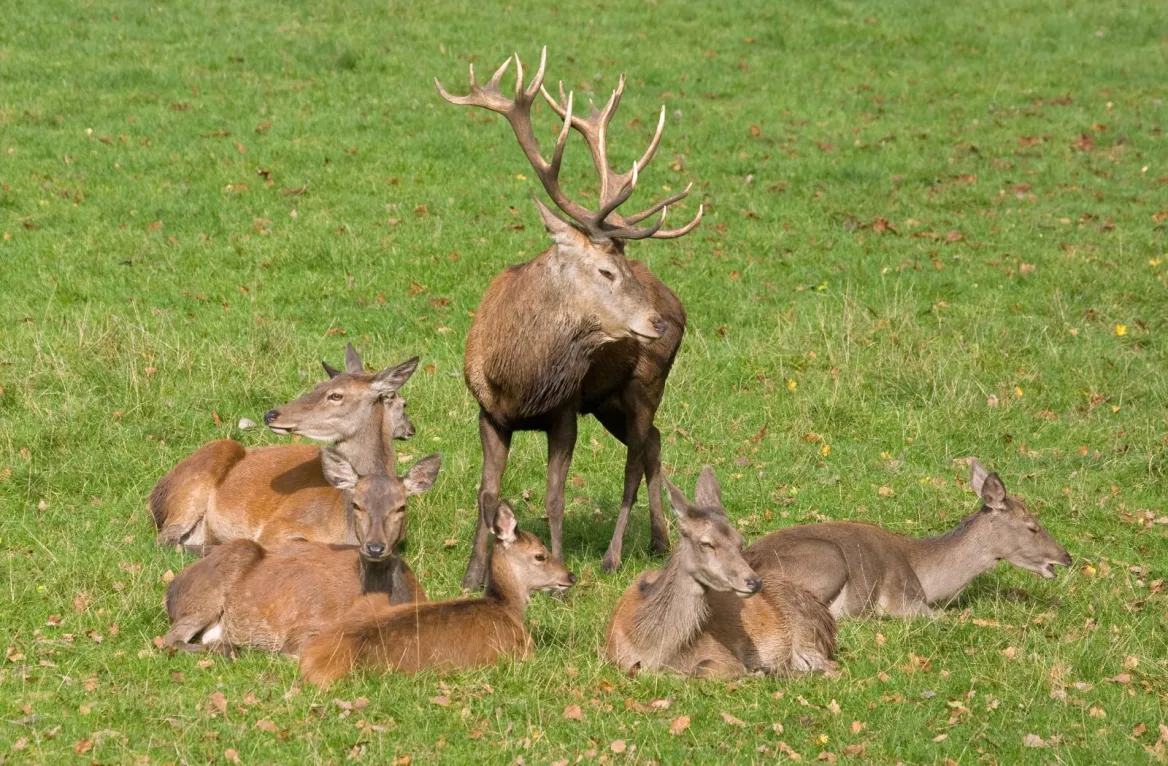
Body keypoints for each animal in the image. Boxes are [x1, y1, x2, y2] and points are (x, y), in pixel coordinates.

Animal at [150, 345, 418, 551]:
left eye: (336, 395)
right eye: (317, 386)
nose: (271, 414)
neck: (348, 529)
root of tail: (155, 494)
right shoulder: (278, 526)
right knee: (167, 540)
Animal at [162, 447, 439, 656]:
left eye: (401, 507)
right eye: (356, 505)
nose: (375, 546)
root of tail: (173, 589)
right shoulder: (305, 631)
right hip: (210, 588)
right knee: (170, 639)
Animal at [435, 47, 704, 587]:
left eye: (624, 268)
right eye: (606, 270)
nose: (658, 324)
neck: (518, 376)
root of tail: (675, 299)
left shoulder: (564, 410)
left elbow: (555, 497)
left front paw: (559, 572)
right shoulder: (488, 412)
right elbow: (486, 495)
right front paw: (473, 576)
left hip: (645, 383)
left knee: (635, 457)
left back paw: (614, 556)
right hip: (606, 400)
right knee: (655, 443)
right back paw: (660, 541)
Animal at [605, 466, 836, 677]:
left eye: (740, 540)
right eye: (706, 543)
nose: (754, 582)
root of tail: (829, 622)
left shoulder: (722, 656)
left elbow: (700, 670)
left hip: (806, 634)